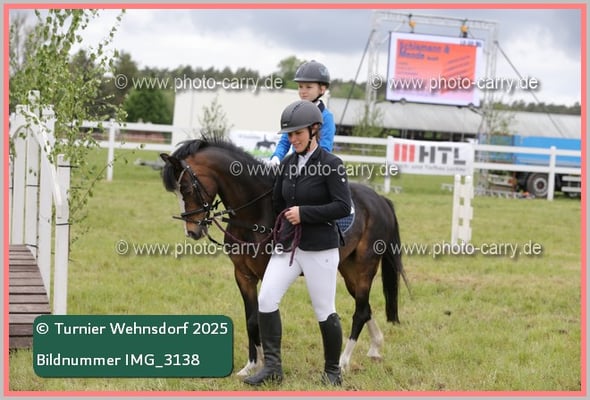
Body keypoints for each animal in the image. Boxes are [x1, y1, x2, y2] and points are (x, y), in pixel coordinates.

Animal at [160, 136, 406, 376]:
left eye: (186, 188)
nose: (192, 232)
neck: (254, 213)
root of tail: (380, 199)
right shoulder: (243, 274)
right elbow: (251, 319)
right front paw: (252, 364)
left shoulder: (265, 272)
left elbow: (261, 316)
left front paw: (263, 363)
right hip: (348, 269)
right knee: (365, 307)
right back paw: (375, 347)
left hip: (364, 267)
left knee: (360, 311)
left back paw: (344, 362)